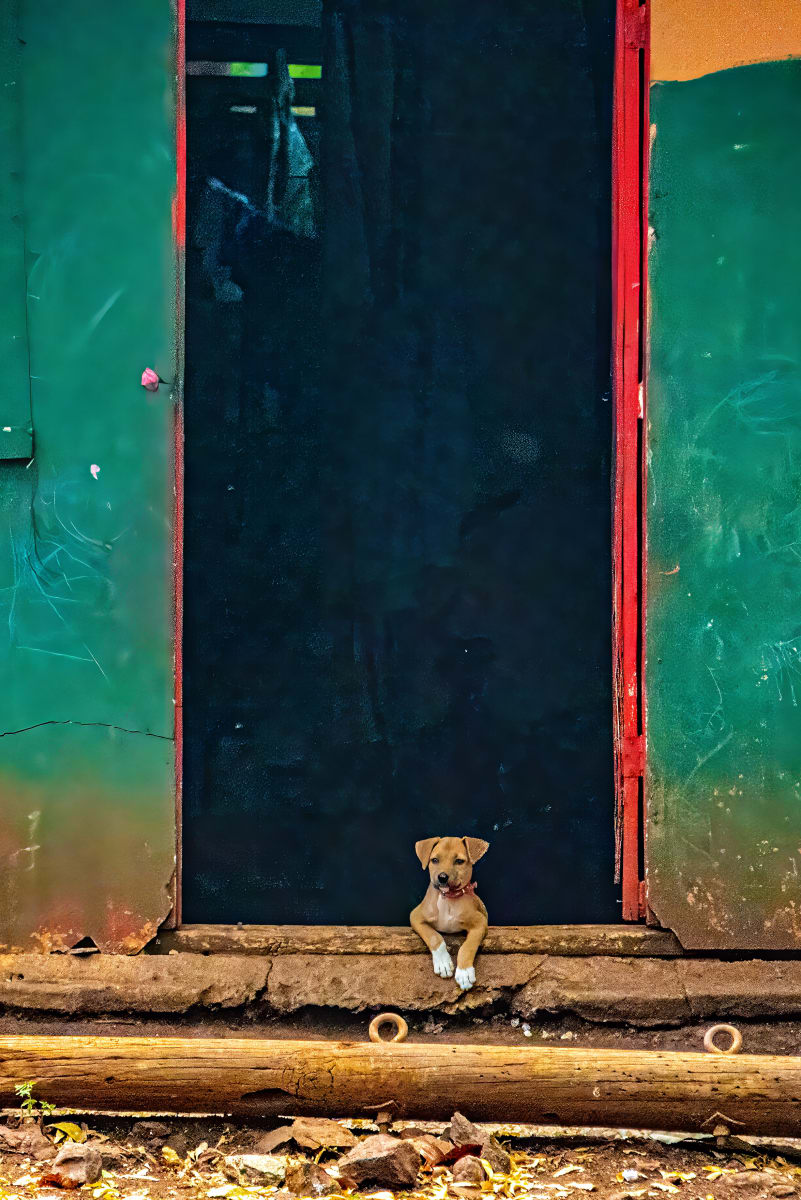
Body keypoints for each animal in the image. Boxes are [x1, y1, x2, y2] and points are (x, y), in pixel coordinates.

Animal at [412, 835, 489, 993]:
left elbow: (468, 946)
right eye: (435, 860)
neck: (447, 898)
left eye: (459, 861)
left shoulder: (480, 922)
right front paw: (443, 963)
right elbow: (434, 937)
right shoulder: (416, 916)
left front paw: (465, 972)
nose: (442, 877)